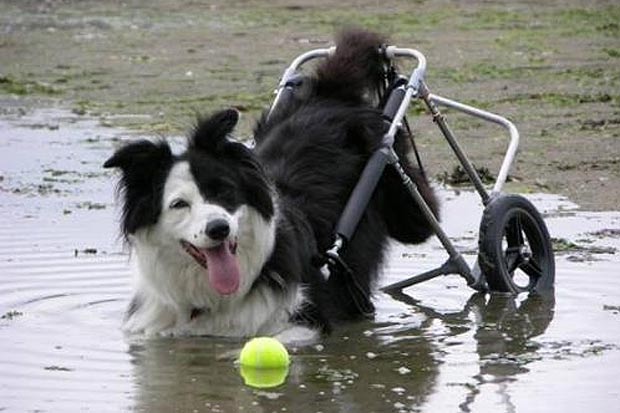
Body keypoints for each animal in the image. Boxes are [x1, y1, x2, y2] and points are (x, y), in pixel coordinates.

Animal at [104, 29, 438, 342]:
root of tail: (330, 94)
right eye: (179, 205)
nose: (219, 229)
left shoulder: (306, 319)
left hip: (403, 198)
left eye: (224, 192)